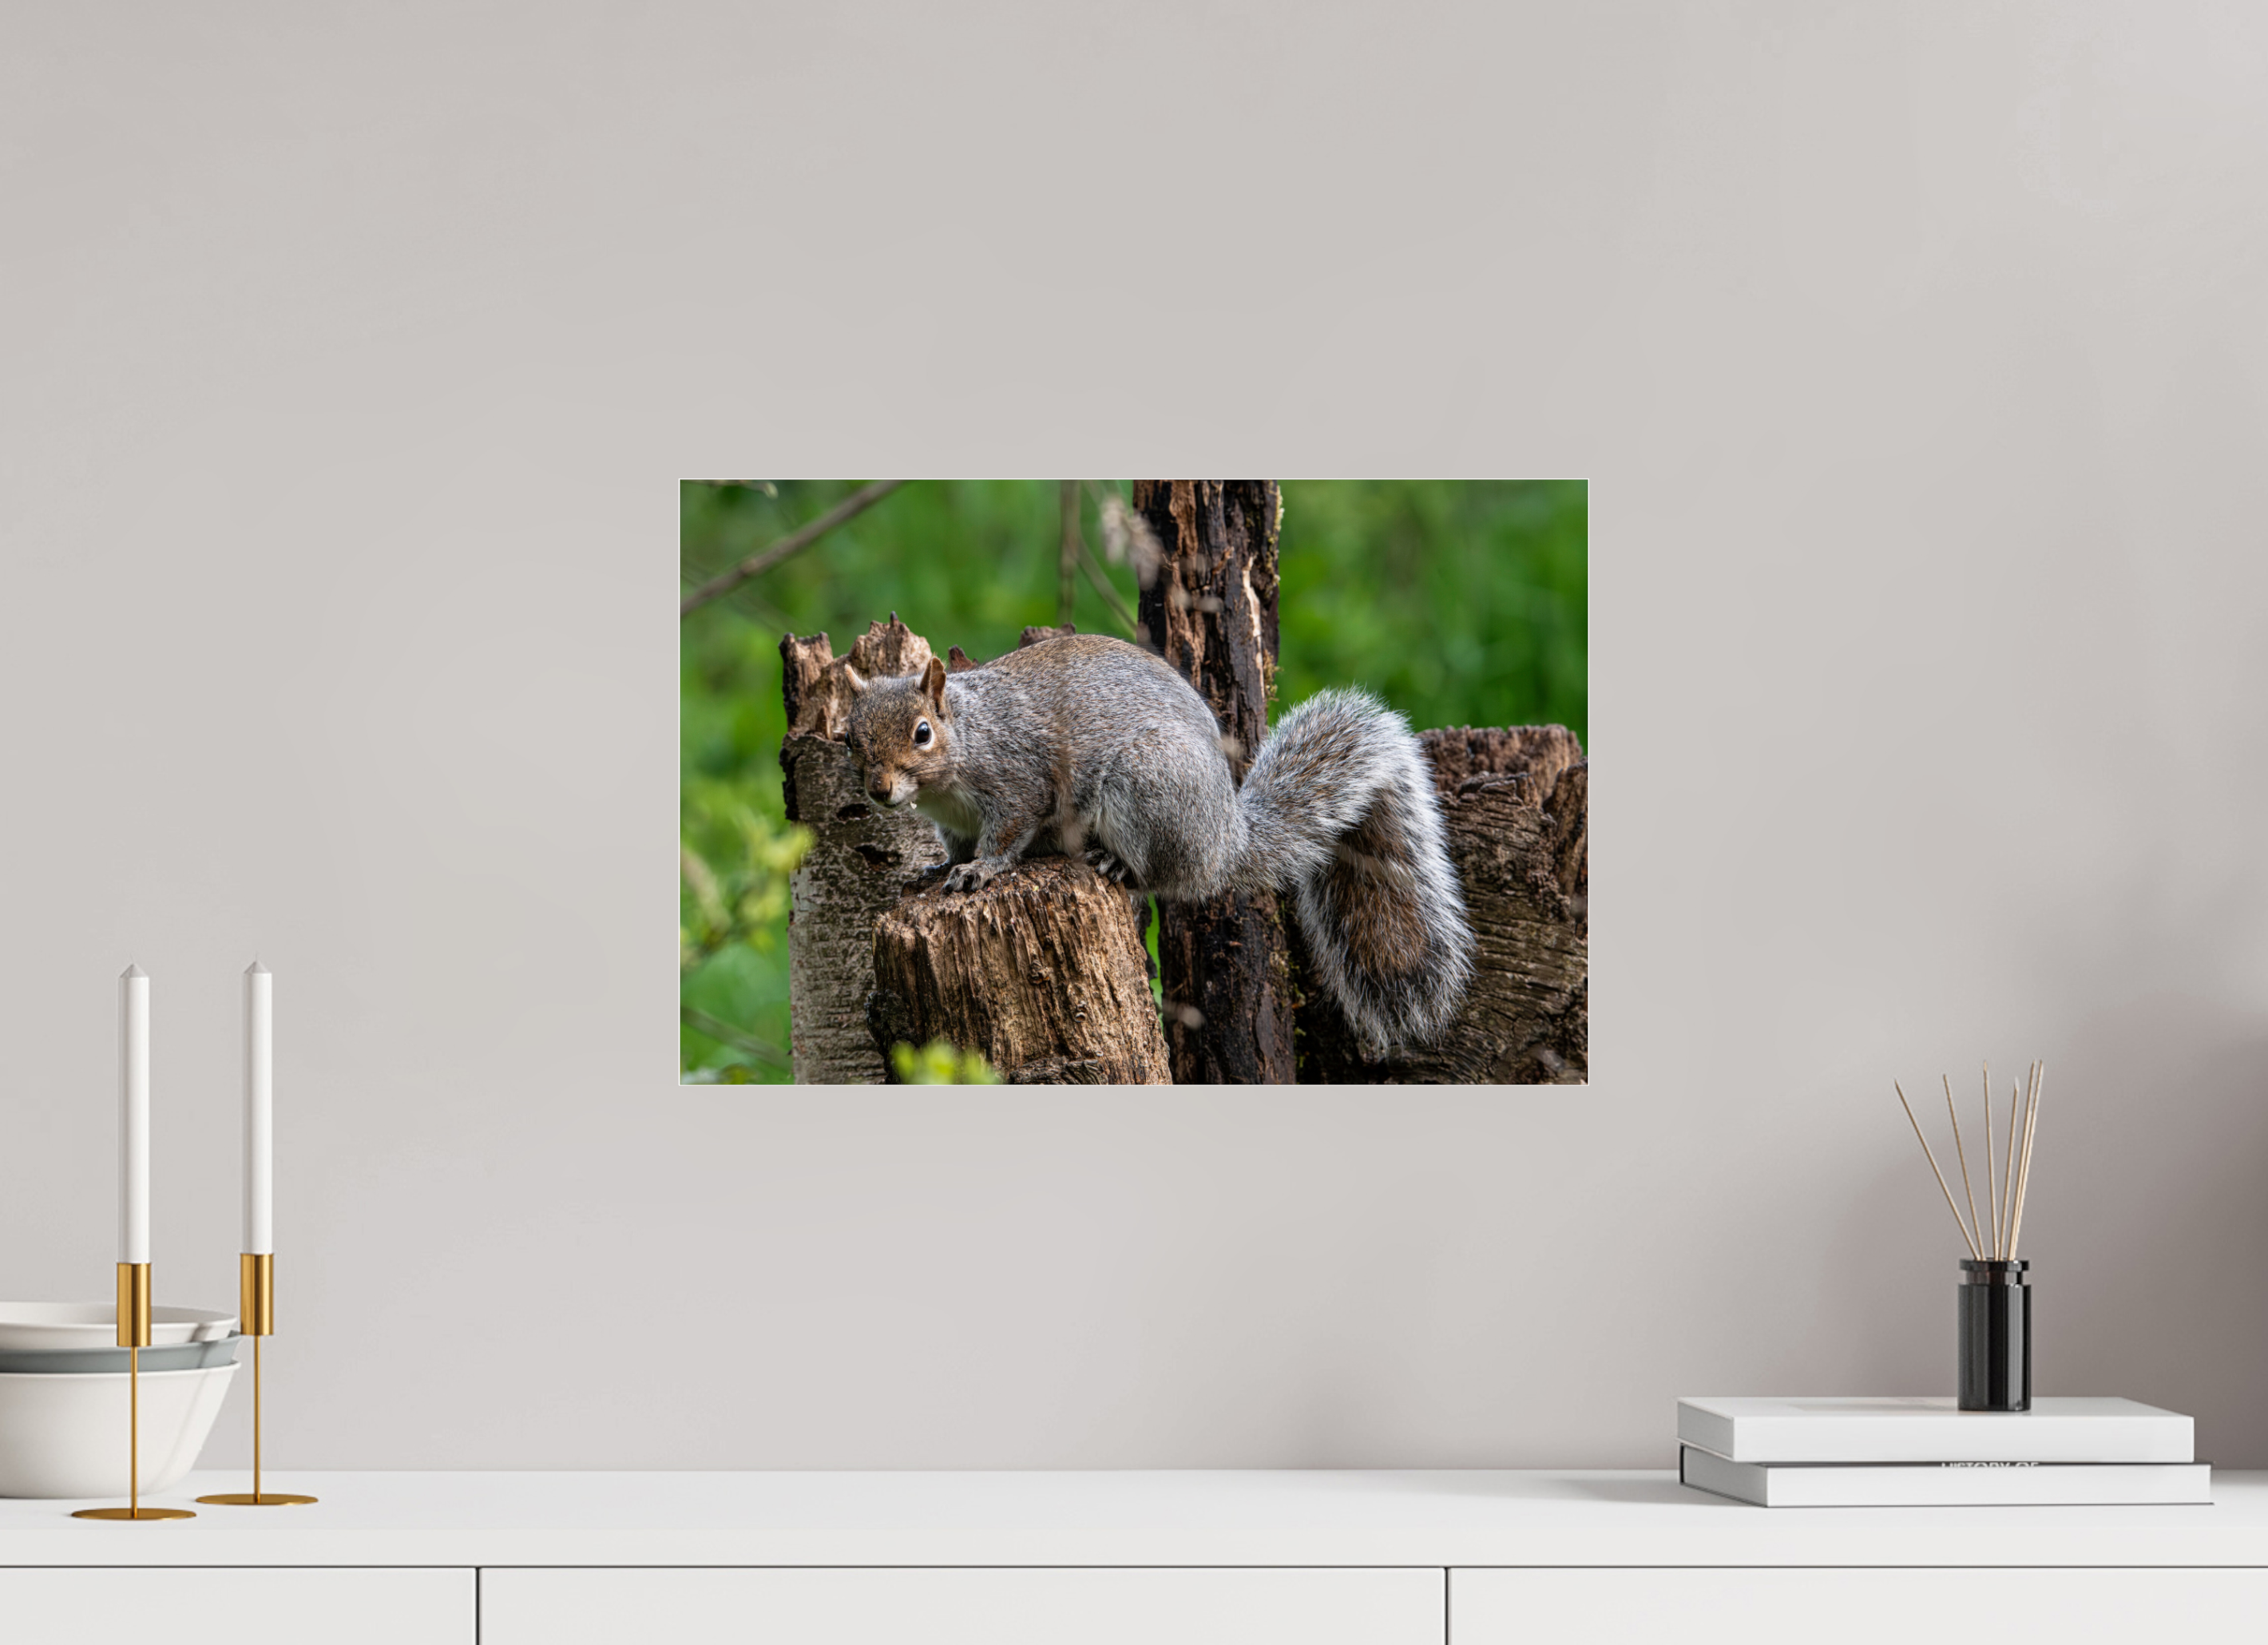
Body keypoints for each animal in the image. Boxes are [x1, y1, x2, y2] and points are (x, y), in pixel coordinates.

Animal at [841, 633, 1473, 1051]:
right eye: (849, 738)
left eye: (923, 733)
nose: (879, 791)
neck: (967, 742)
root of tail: (1224, 840)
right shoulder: (952, 823)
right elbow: (953, 848)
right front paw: (932, 872)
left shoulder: (1018, 784)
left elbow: (1007, 835)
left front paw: (981, 870)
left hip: (1147, 789)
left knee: (1162, 874)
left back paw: (1117, 865)